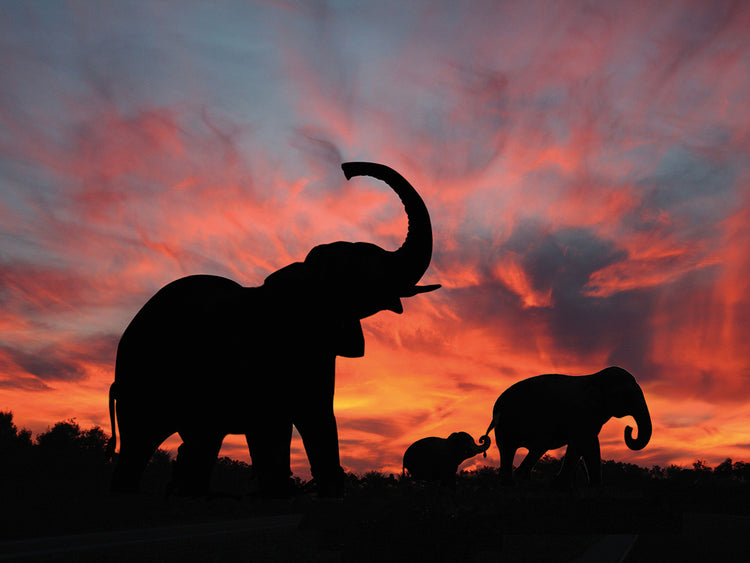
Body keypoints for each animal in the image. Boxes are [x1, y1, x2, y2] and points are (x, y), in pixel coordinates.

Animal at [107, 162, 441, 498]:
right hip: (143, 378)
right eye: (360, 272)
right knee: (140, 443)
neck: (302, 275)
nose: (347, 170)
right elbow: (274, 430)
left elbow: (316, 418)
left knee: (200, 442)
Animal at [484, 366, 651, 487]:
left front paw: (563, 485)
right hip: (513, 424)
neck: (595, 378)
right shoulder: (583, 414)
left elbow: (580, 445)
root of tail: (496, 407)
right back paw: (517, 483)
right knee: (527, 447)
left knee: (512, 450)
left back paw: (514, 483)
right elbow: (588, 444)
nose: (629, 428)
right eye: (628, 395)